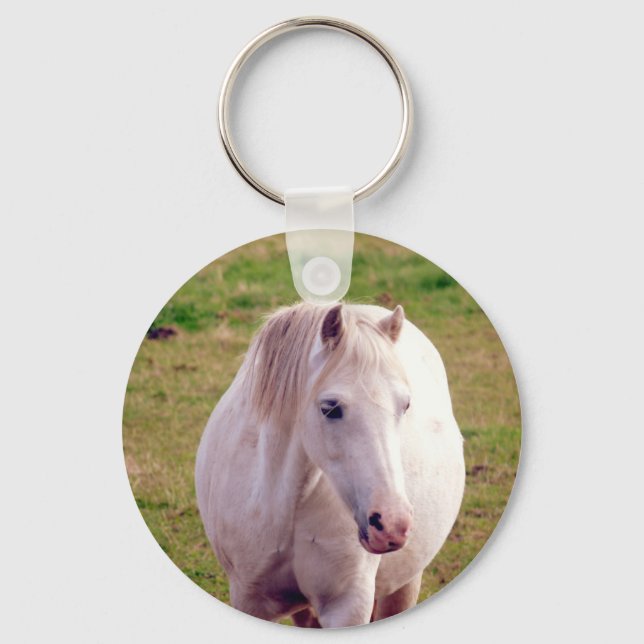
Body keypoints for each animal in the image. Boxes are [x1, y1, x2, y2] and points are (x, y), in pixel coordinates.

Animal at [195, 302, 465, 628]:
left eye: (406, 405)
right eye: (331, 408)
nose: (391, 524)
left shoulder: (346, 607)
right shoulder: (249, 598)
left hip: (404, 583)